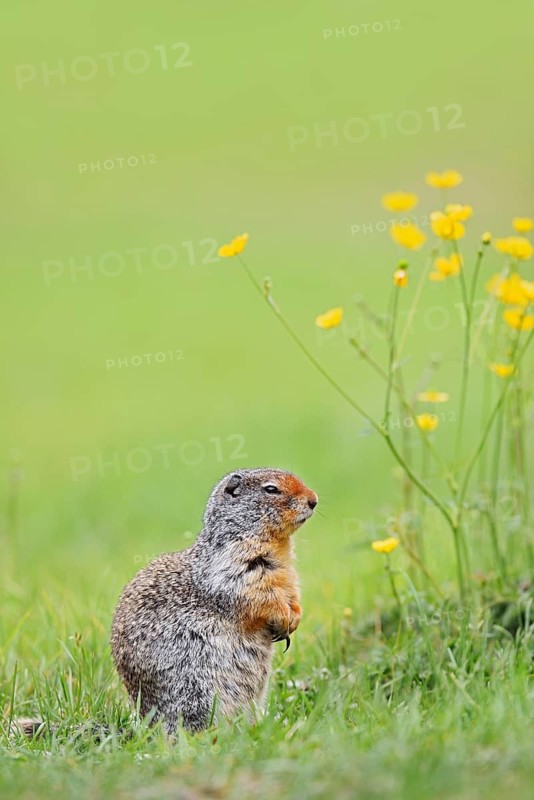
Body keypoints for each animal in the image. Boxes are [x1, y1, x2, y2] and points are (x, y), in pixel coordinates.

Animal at [110, 468, 318, 734]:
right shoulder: (234, 566)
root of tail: (148, 724)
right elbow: (257, 594)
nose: (314, 500)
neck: (277, 544)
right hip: (197, 691)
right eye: (271, 489)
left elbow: (291, 593)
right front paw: (282, 616)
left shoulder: (287, 574)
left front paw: (294, 618)